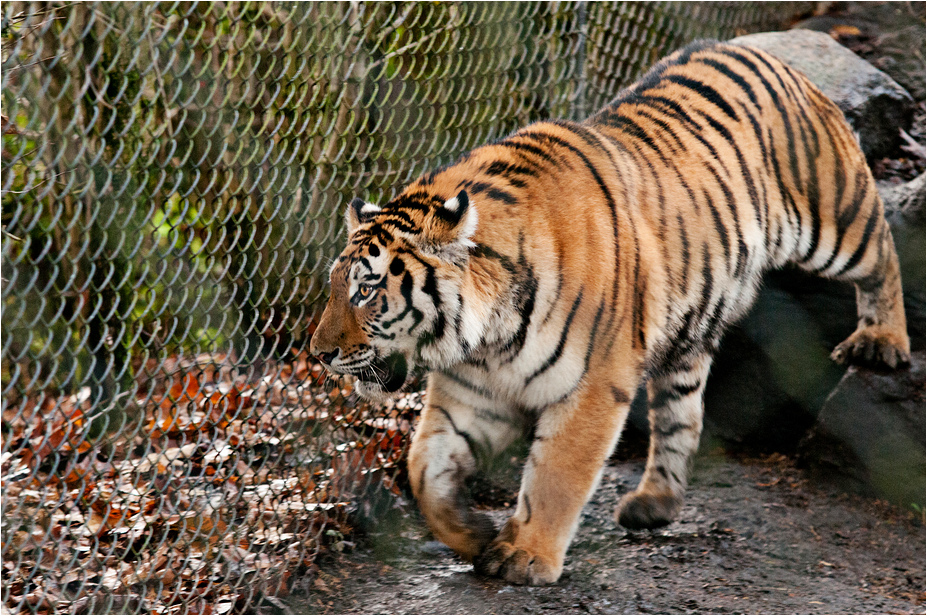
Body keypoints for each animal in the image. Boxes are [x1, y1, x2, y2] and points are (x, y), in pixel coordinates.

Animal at [309, 39, 910, 585]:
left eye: (366, 290)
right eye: (336, 287)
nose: (318, 355)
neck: (486, 338)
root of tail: (774, 55)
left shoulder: (594, 385)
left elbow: (557, 474)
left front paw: (525, 556)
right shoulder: (471, 393)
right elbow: (423, 470)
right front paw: (474, 533)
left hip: (833, 217)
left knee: (882, 249)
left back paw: (883, 341)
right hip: (687, 333)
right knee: (680, 413)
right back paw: (654, 502)